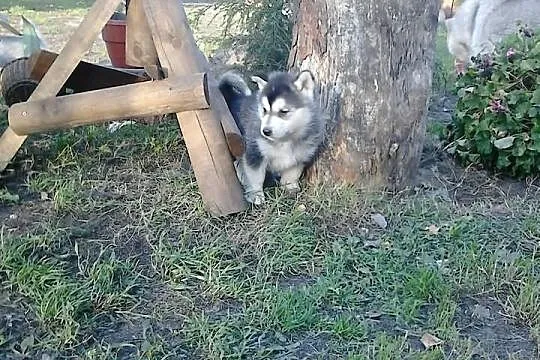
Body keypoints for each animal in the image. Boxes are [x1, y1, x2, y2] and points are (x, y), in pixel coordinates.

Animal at [218, 70, 324, 205]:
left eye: (284, 111)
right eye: (264, 110)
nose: (265, 131)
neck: (285, 139)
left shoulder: (300, 155)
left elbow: (292, 173)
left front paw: (289, 188)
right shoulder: (255, 152)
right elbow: (255, 176)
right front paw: (256, 195)